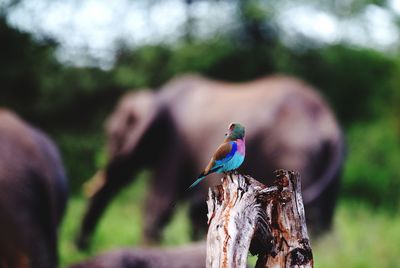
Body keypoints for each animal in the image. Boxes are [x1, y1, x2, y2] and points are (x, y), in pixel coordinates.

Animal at [76, 74, 346, 249]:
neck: (157, 95)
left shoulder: (174, 144)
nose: (80, 247)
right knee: (326, 215)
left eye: (112, 135)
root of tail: (329, 121)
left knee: (315, 213)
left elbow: (158, 202)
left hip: (296, 151)